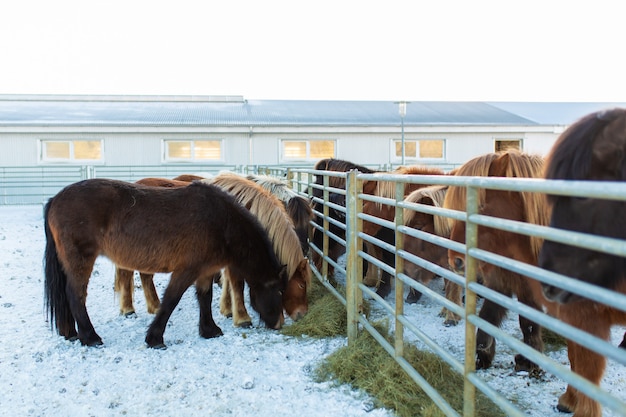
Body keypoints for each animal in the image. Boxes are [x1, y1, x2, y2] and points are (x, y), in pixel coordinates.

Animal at [42, 179, 286, 348]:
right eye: (279, 292)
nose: (279, 324)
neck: (220, 222)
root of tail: (55, 200)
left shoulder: (205, 272)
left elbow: (205, 299)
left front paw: (209, 330)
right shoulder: (185, 271)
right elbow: (171, 300)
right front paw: (155, 338)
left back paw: (71, 333)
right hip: (81, 261)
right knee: (75, 295)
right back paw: (90, 337)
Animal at [442, 151, 548, 372]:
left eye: (481, 205)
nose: (455, 261)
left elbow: (529, 322)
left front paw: (529, 360)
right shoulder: (503, 282)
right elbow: (488, 316)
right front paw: (484, 353)